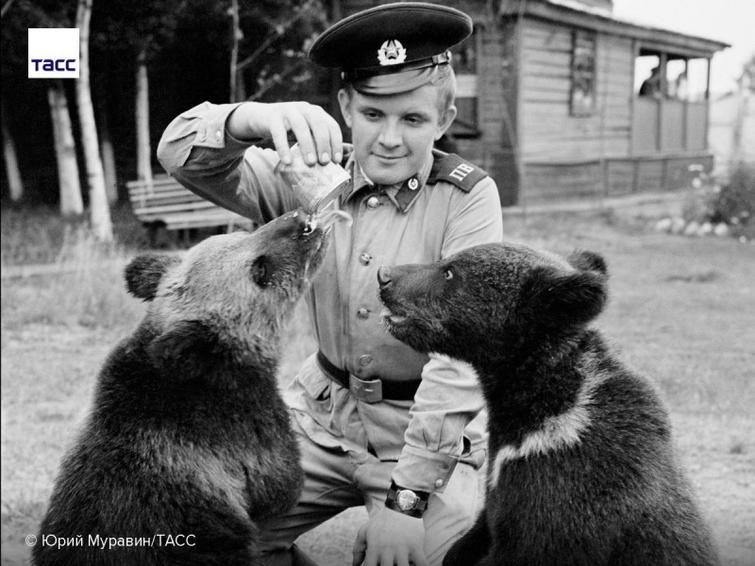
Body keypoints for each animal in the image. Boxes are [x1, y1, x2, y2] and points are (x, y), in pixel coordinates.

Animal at [378, 243, 720, 566]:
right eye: (445, 261)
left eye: (450, 272)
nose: (384, 276)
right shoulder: (503, 473)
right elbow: (478, 531)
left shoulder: (563, 479)